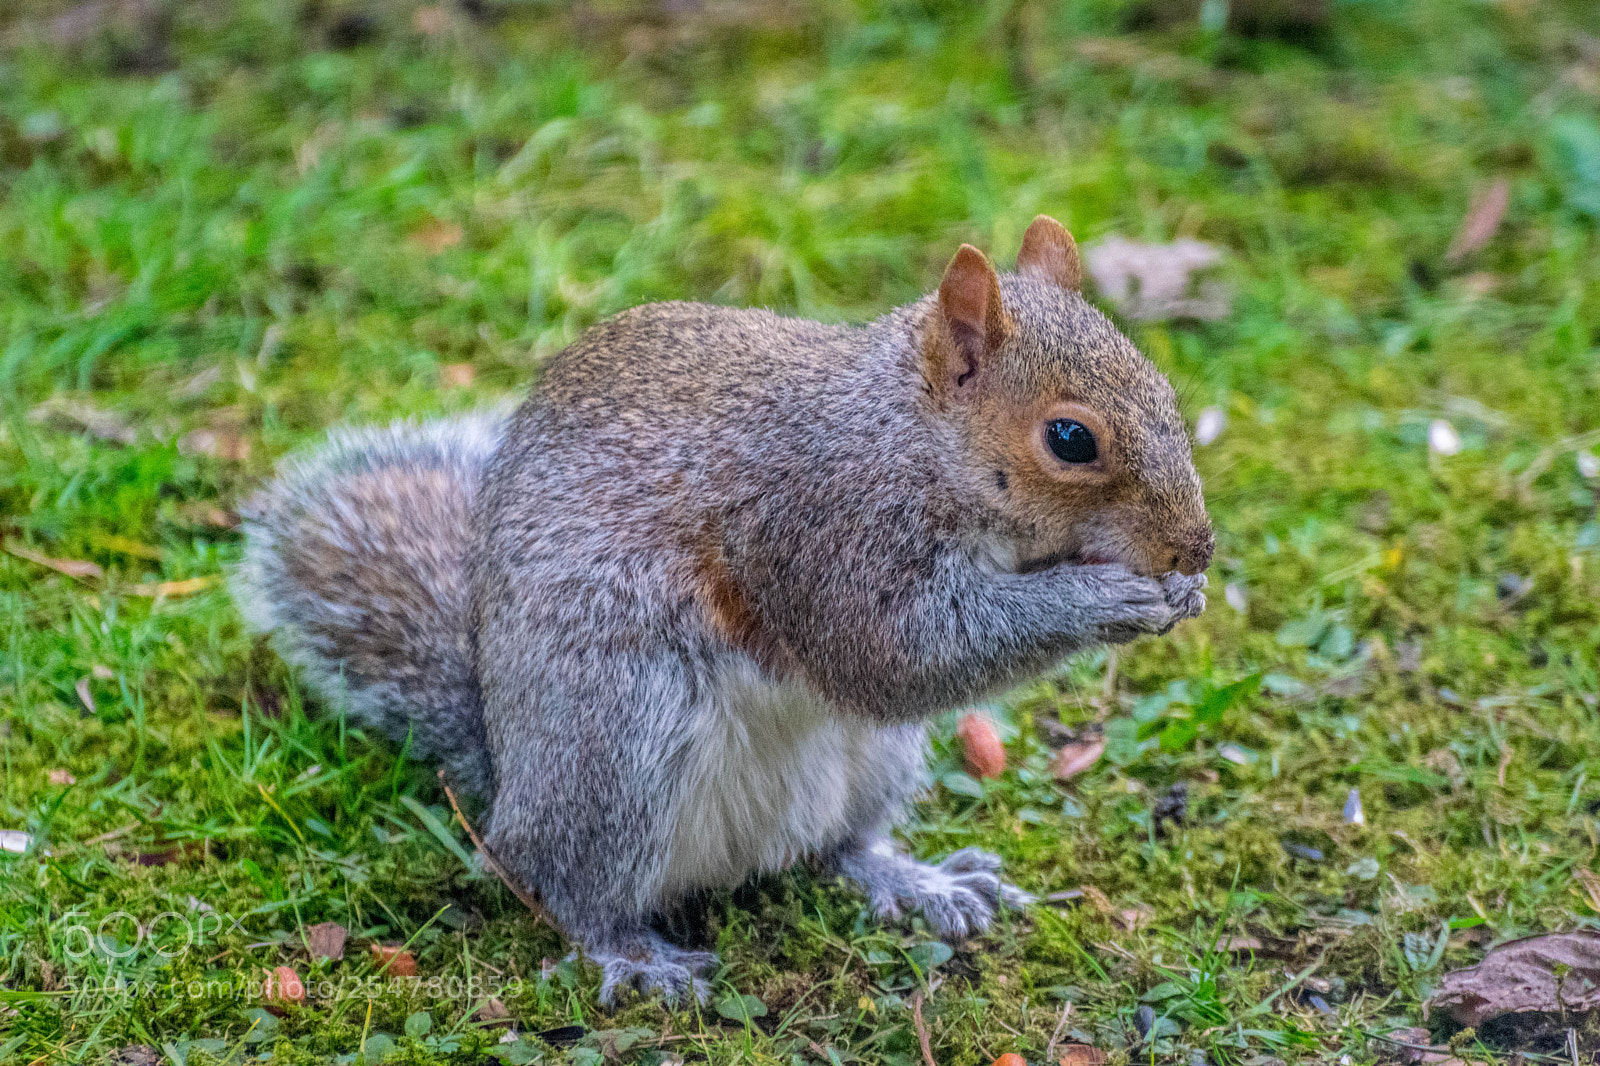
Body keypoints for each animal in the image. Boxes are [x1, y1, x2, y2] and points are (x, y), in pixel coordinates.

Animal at [234, 215, 1213, 1006]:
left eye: (1167, 391)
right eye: (1071, 438)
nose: (1195, 548)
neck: (908, 439)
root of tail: (505, 772)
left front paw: (1179, 590)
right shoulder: (820, 528)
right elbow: (899, 654)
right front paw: (1107, 596)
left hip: (869, 762)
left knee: (837, 847)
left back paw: (916, 881)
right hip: (614, 741)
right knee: (564, 885)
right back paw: (631, 954)